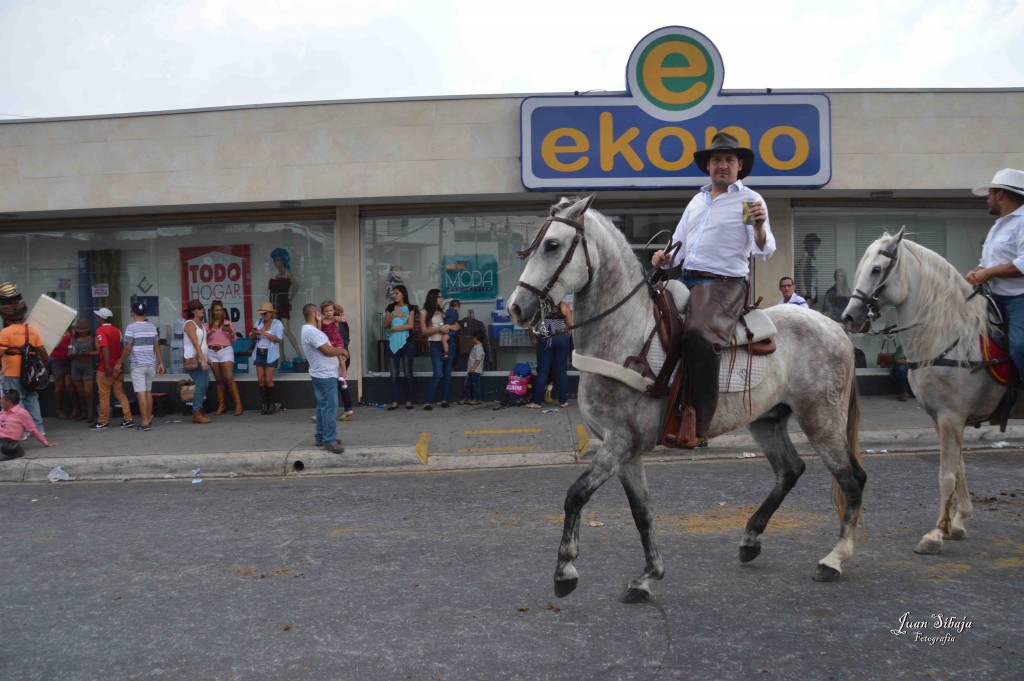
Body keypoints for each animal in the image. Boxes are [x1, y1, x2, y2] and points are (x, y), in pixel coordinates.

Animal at [503, 196, 864, 602]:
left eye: (553, 245)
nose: (516, 307)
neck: (625, 333)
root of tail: (835, 327)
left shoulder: (620, 443)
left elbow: (576, 495)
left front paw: (565, 570)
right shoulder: (626, 449)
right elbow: (642, 512)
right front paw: (648, 576)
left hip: (821, 420)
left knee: (851, 479)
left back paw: (833, 559)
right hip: (767, 420)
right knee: (790, 469)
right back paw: (750, 538)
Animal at [843, 228, 1003, 552]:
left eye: (876, 269)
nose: (850, 317)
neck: (951, 337)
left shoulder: (951, 416)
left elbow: (947, 475)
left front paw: (937, 533)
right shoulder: (944, 418)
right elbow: (959, 468)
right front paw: (958, 521)